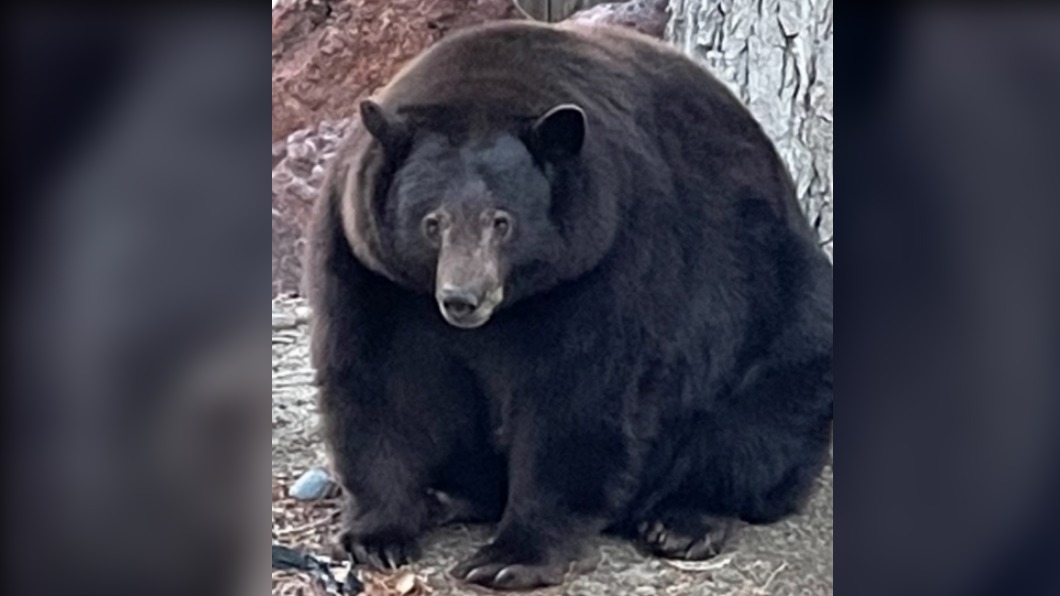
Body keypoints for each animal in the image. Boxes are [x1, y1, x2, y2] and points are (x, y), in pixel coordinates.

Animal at [306, 20, 833, 591]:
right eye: (432, 222)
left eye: (502, 221)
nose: (462, 299)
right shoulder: (369, 267)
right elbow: (379, 380)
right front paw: (378, 535)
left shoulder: (609, 256)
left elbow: (578, 397)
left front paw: (509, 556)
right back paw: (448, 496)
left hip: (778, 313)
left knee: (760, 423)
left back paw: (683, 520)